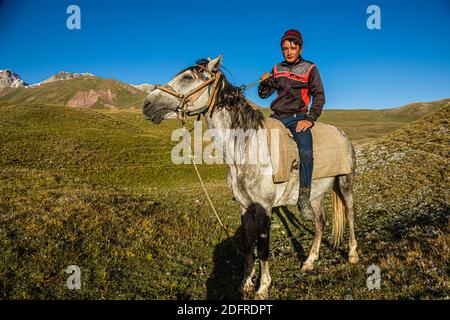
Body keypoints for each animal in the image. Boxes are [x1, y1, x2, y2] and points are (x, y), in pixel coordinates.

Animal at [143, 54, 358, 298]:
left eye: (187, 77)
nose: (147, 104)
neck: (246, 148)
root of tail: (342, 134)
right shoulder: (245, 206)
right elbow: (248, 245)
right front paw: (245, 283)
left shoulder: (264, 208)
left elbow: (263, 248)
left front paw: (263, 287)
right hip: (315, 194)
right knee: (321, 222)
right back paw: (309, 262)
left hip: (345, 182)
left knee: (350, 213)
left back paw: (352, 254)